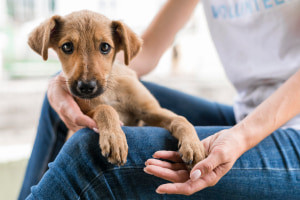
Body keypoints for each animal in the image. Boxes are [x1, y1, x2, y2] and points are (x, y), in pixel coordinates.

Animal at [28, 10, 206, 166]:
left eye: (105, 47)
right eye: (67, 47)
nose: (86, 87)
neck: (110, 89)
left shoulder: (150, 110)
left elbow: (180, 119)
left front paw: (194, 145)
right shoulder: (84, 114)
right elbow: (105, 109)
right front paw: (114, 139)